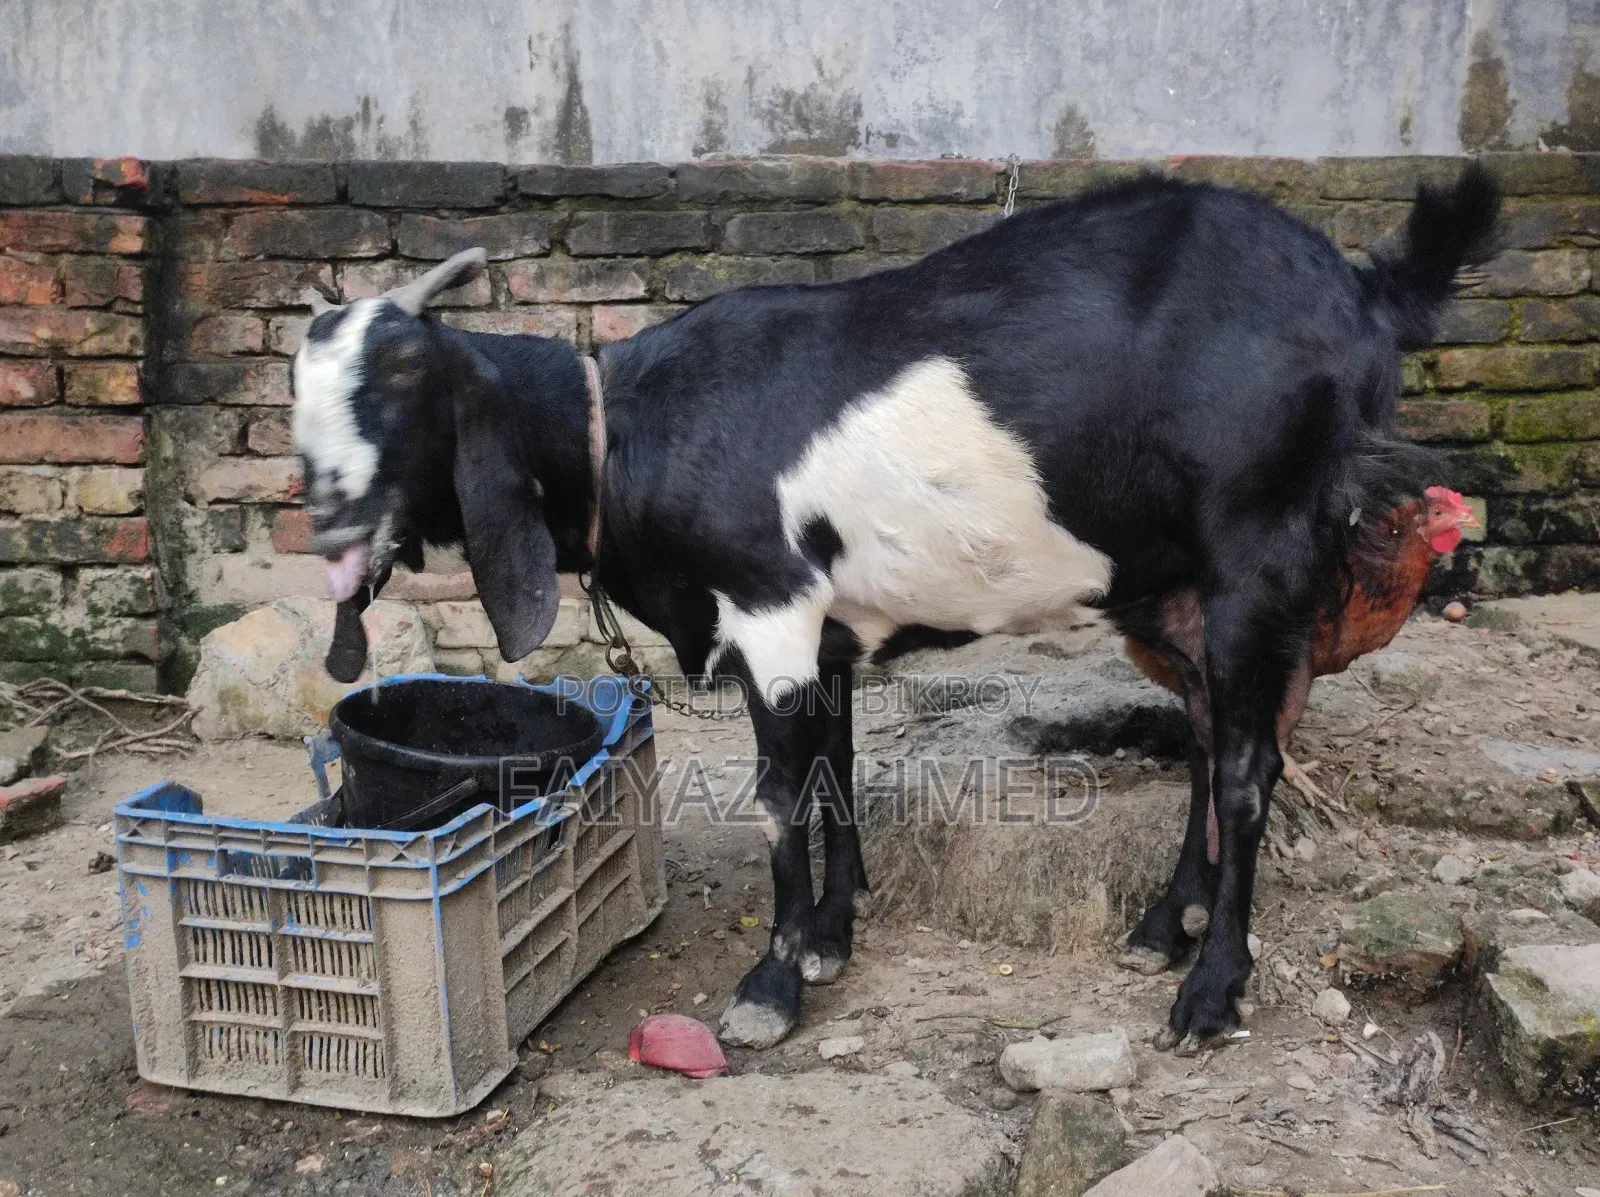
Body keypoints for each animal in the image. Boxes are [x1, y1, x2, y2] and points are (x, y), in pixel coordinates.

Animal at [291, 165, 1500, 1053]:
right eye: (299, 398)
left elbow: (781, 794)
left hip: (1261, 550)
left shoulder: (771, 603)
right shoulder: (825, 623)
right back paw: (1166, 924)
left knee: (1248, 768)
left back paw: (1209, 992)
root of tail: (1363, 289)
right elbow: (834, 765)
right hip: (1174, 585)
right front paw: (834, 931)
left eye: (406, 376)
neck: (623, 429)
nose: (331, 516)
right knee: (1208, 737)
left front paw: (771, 984)